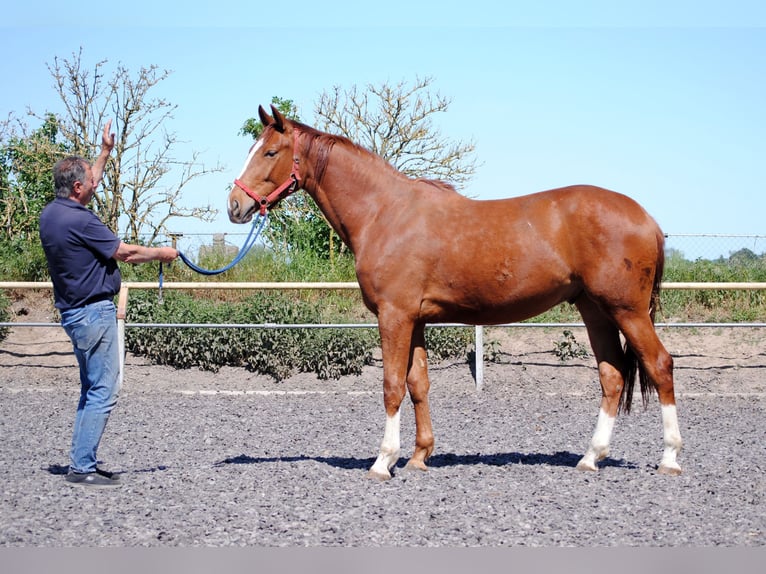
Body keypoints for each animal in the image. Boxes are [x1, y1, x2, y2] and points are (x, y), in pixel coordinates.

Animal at [227, 104, 683, 480]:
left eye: (270, 153)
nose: (235, 205)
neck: (384, 213)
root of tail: (647, 217)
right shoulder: (416, 319)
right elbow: (417, 384)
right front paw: (417, 457)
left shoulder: (394, 315)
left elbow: (391, 385)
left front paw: (382, 461)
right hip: (595, 310)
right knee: (613, 375)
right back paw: (591, 457)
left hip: (627, 310)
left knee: (660, 365)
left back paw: (669, 458)